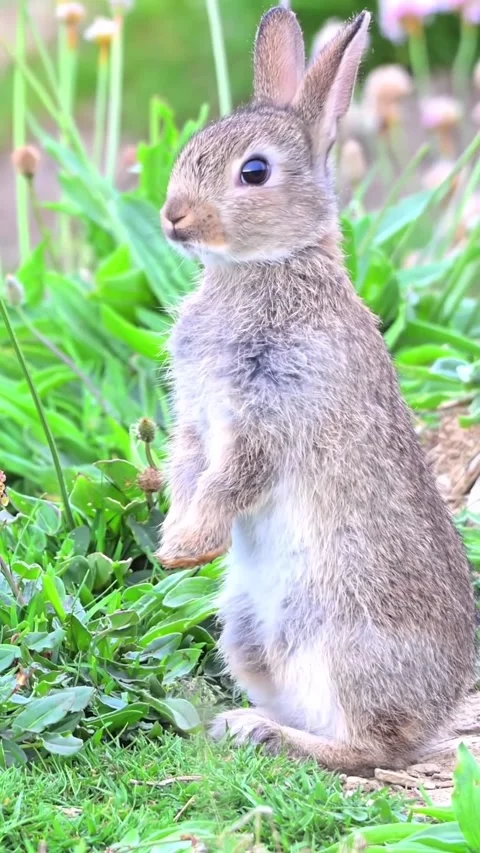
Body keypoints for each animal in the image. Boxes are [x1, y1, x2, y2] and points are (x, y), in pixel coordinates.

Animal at [156, 6, 476, 773]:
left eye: (254, 172)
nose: (174, 216)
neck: (268, 266)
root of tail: (439, 708)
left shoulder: (275, 406)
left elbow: (234, 477)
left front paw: (188, 547)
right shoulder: (196, 415)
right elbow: (188, 468)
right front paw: (173, 545)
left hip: (341, 633)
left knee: (373, 747)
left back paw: (269, 734)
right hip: (244, 628)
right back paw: (236, 722)